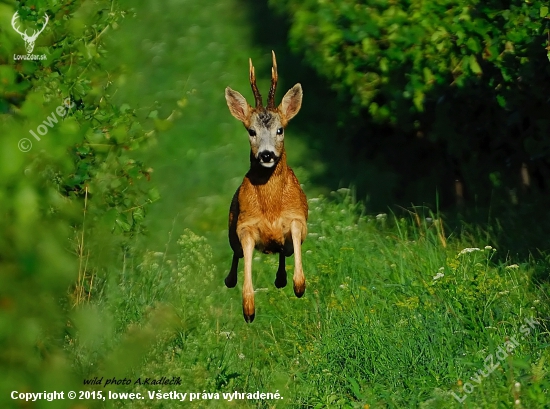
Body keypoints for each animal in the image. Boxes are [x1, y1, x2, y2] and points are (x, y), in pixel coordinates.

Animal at [225, 51, 310, 322]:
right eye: (251, 131)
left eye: (280, 129)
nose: (266, 155)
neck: (271, 208)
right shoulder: (244, 225)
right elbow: (247, 261)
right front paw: (248, 309)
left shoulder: (298, 218)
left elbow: (294, 235)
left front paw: (298, 285)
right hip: (231, 228)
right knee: (236, 254)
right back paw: (230, 280)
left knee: (284, 252)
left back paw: (281, 279)